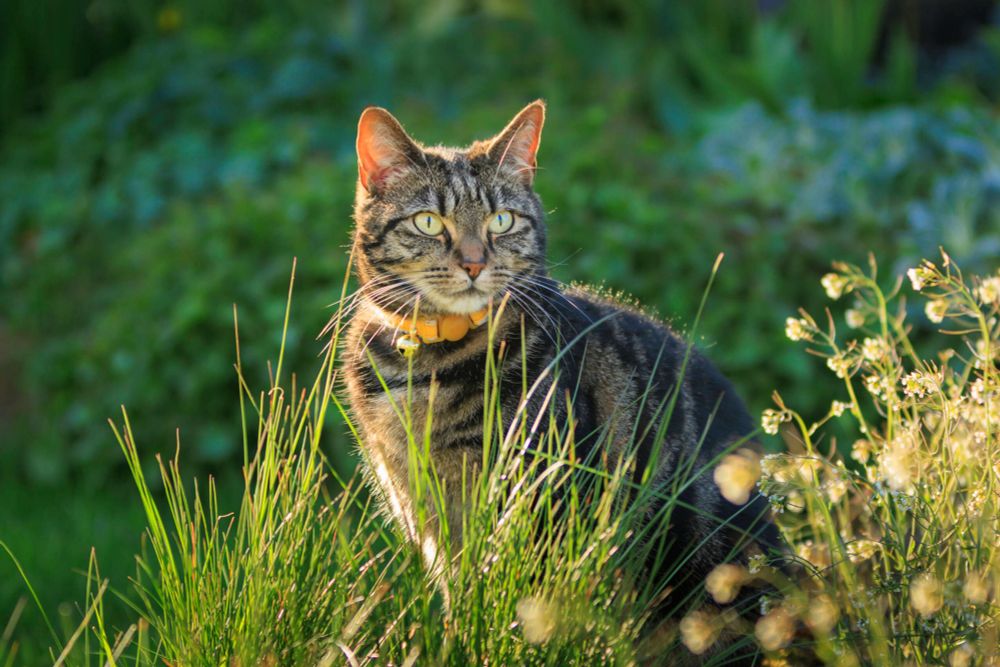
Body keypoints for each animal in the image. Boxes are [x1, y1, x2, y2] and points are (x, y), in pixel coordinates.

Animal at [340, 100, 776, 620]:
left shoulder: (536, 501)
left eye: (502, 221)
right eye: (428, 222)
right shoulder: (419, 507)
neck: (426, 364)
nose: (474, 263)